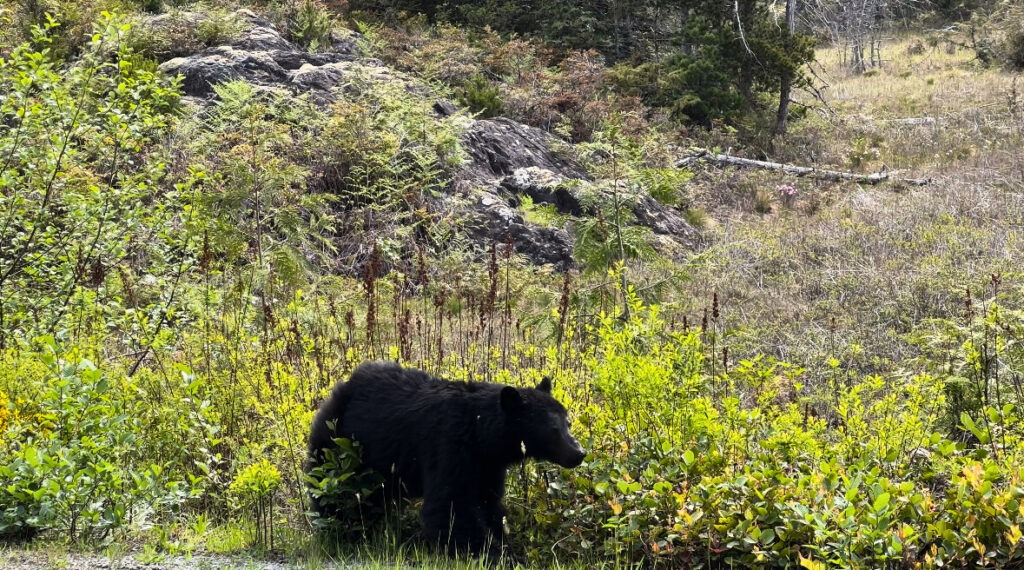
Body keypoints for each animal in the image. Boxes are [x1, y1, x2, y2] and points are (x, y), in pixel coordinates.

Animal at [306, 361, 586, 561]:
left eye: (567, 422)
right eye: (553, 429)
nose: (579, 452)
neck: (481, 431)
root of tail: (341, 387)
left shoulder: (488, 463)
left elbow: (488, 502)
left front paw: (505, 545)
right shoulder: (450, 444)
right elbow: (452, 504)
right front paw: (495, 554)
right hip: (339, 441)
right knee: (333, 485)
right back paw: (341, 530)